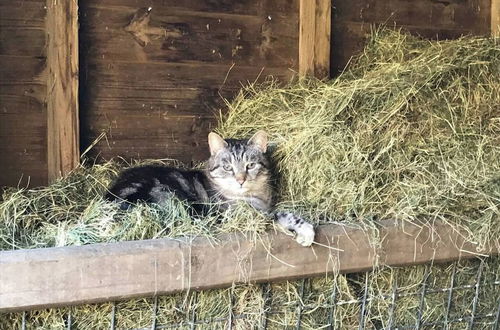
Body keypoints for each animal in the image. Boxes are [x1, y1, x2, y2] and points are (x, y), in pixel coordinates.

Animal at [104, 130, 316, 246]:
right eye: (227, 167)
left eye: (250, 165)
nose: (240, 180)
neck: (258, 197)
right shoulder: (240, 216)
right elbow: (281, 215)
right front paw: (306, 231)